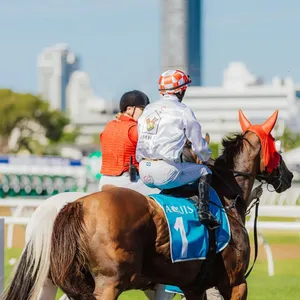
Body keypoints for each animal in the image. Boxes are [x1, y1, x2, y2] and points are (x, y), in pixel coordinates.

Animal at [48, 110, 292, 300]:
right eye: (277, 148)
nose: (289, 176)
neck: (225, 200)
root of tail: (79, 205)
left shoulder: (193, 286)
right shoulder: (235, 283)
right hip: (109, 283)